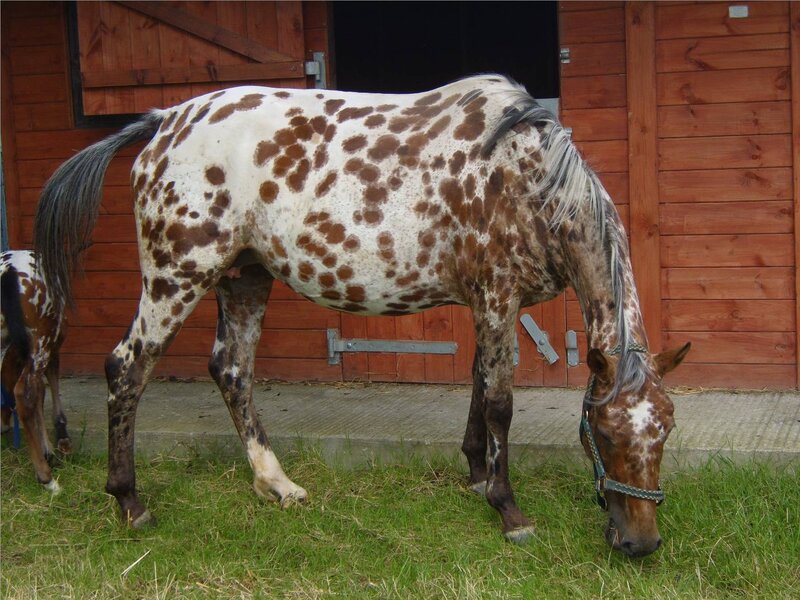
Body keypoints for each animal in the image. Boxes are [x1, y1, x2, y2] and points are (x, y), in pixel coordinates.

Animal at [1, 250, 72, 492]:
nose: (3, 426)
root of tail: (9, 272)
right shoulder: (54, 343)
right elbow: (45, 387)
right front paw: (56, 443)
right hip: (43, 338)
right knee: (23, 393)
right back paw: (46, 478)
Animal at [33, 74, 689, 557]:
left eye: (665, 430)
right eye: (605, 432)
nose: (640, 544)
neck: (524, 174)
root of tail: (164, 121)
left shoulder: (487, 303)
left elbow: (479, 390)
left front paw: (477, 475)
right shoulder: (497, 298)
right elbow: (501, 403)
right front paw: (508, 509)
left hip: (245, 276)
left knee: (232, 370)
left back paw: (276, 484)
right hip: (177, 277)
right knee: (128, 369)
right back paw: (130, 501)